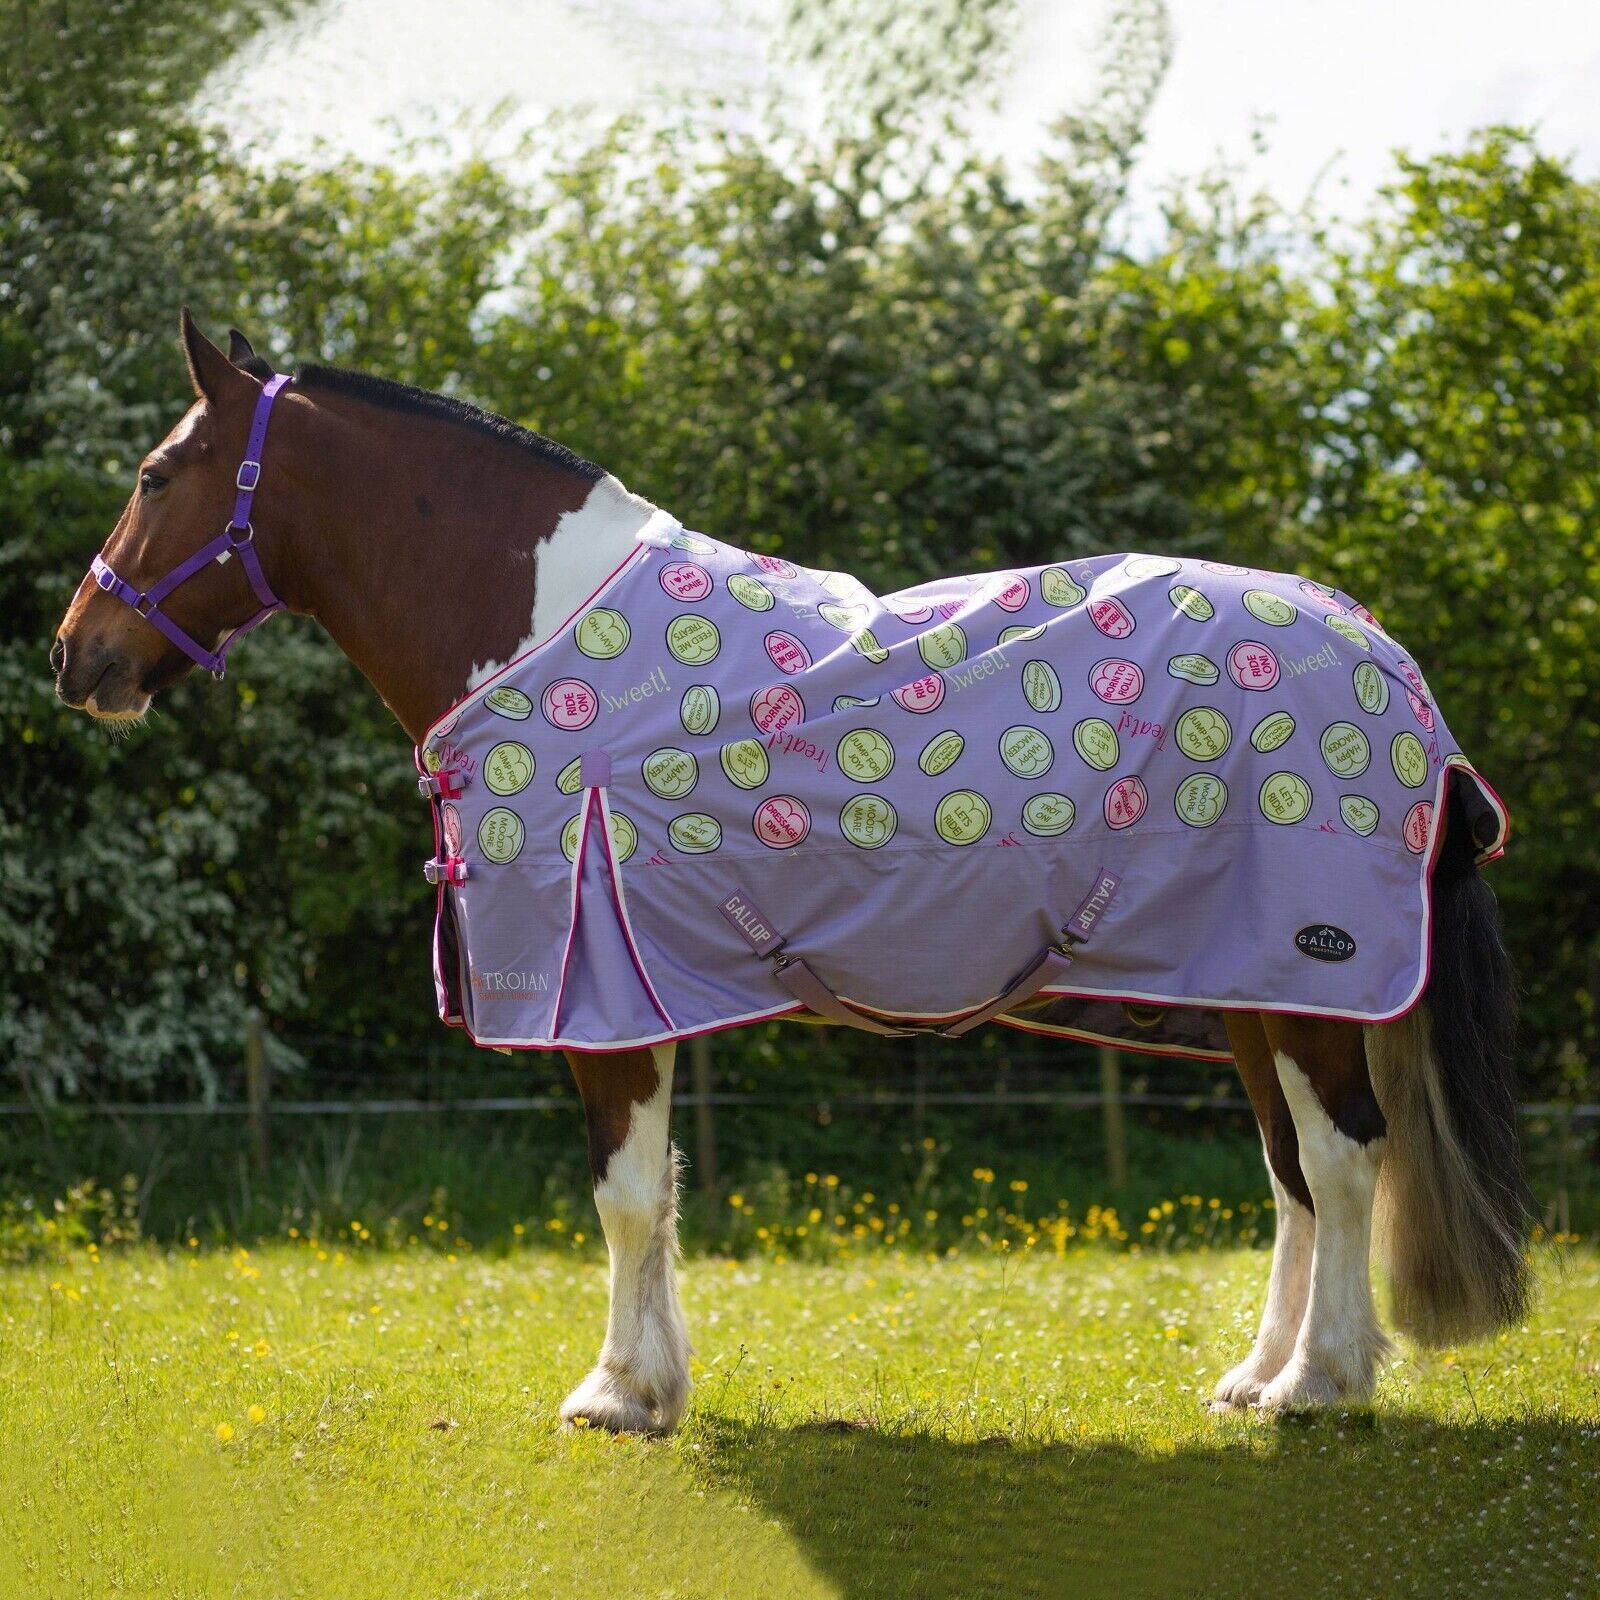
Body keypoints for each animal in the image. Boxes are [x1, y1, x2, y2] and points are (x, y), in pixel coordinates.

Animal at [51, 312, 1530, 1433]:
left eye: (153, 474)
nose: (75, 657)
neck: (541, 639)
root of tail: (1391, 665)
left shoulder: (601, 998)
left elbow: (625, 1192)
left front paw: (616, 1395)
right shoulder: (636, 998)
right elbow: (652, 1193)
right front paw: (652, 1385)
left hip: (1303, 985)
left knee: (1341, 1160)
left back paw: (1318, 1386)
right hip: (1245, 992)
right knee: (1293, 1174)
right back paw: (1258, 1374)